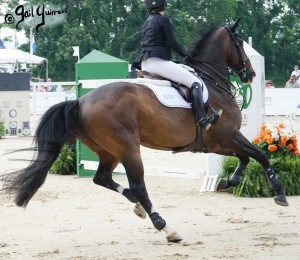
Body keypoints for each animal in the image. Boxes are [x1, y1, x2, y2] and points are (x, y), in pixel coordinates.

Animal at [1, 19, 290, 243]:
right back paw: (166, 227)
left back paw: (138, 207)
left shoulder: (218, 142)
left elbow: (245, 158)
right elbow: (260, 155)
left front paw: (228, 181)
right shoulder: (226, 136)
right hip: (129, 149)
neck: (210, 80)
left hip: (108, 151)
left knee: (102, 178)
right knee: (138, 186)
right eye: (239, 43)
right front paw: (279, 192)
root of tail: (80, 101)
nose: (250, 74)